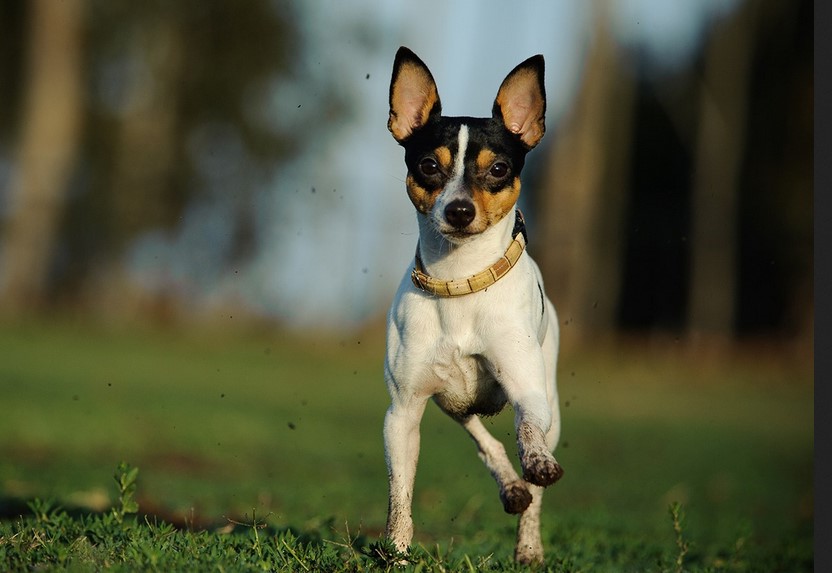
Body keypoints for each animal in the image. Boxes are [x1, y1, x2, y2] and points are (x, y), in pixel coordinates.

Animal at [386, 45, 564, 564]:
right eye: (428, 165)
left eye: (499, 168)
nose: (459, 210)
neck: (459, 284)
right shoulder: (402, 413)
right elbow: (400, 495)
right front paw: (397, 555)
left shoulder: (528, 392)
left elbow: (528, 436)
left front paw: (536, 465)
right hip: (453, 401)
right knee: (483, 440)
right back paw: (510, 487)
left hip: (549, 395)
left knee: (533, 480)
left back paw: (529, 545)